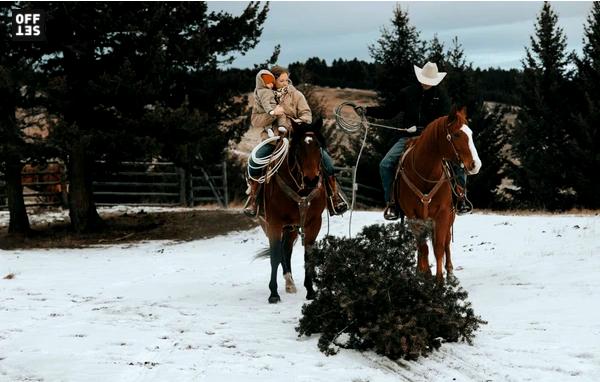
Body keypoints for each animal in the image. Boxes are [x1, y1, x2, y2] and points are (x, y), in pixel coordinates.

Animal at [254, 118, 326, 302]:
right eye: (298, 148)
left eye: (318, 146)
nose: (311, 180)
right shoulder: (274, 223)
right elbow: (274, 256)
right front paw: (273, 294)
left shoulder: (313, 223)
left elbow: (308, 256)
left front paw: (311, 290)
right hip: (270, 225)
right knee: (281, 251)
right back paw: (287, 283)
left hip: (292, 227)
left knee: (287, 249)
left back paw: (290, 282)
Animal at [394, 106, 482, 282]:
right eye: (456, 134)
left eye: (470, 133)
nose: (476, 165)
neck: (425, 173)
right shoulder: (413, 215)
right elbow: (423, 248)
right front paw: (425, 274)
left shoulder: (443, 213)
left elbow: (439, 247)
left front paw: (439, 280)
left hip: (450, 215)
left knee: (446, 241)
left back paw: (450, 273)